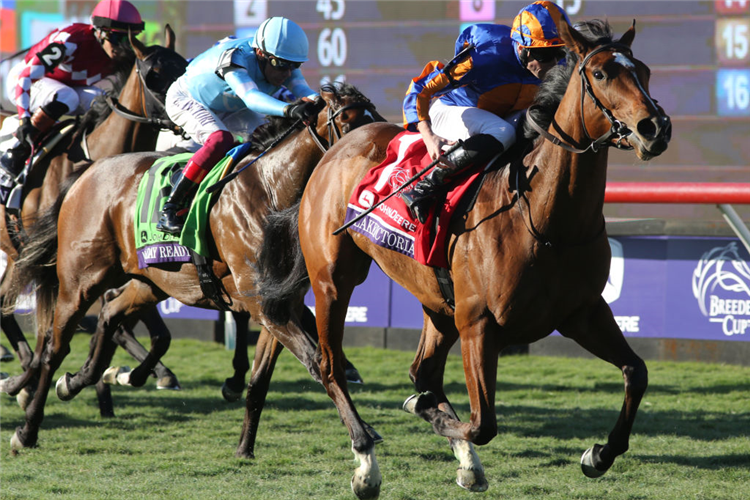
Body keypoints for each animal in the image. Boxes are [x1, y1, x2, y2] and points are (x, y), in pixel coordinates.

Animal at [0, 28, 187, 414]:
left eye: (185, 65)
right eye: (153, 74)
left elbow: (153, 332)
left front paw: (122, 378)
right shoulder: (63, 270)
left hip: (16, 256)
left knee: (4, 308)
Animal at [4, 83, 382, 454]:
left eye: (375, 117)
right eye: (347, 120)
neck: (271, 191)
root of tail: (87, 172)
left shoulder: (280, 303)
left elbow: (262, 379)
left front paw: (244, 447)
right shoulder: (264, 304)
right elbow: (318, 362)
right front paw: (361, 435)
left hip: (152, 280)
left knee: (111, 312)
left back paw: (83, 380)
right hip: (80, 280)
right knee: (53, 348)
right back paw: (28, 427)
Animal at [256, 18, 672, 496]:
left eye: (644, 71)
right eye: (601, 73)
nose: (655, 127)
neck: (544, 218)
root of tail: (333, 151)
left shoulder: (582, 312)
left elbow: (637, 371)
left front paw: (599, 454)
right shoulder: (479, 323)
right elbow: (482, 423)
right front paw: (425, 416)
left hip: (436, 301)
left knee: (423, 371)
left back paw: (460, 456)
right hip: (333, 280)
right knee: (330, 366)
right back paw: (366, 461)